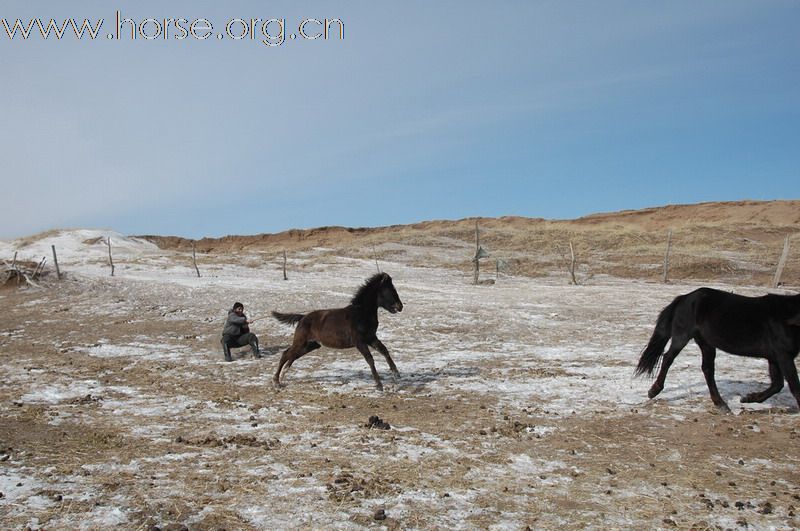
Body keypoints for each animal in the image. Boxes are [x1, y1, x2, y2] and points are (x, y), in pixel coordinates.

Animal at [272, 274, 404, 390]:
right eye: (389, 290)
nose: (400, 306)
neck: (361, 314)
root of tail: (302, 317)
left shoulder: (371, 338)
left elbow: (384, 350)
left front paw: (396, 374)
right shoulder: (359, 342)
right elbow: (370, 359)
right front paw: (379, 385)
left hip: (311, 344)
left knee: (293, 355)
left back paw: (282, 376)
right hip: (301, 341)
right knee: (286, 354)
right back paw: (276, 381)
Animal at [636, 288, 800, 414]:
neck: (788, 317)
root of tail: (685, 297)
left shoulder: (774, 358)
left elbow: (777, 385)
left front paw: (748, 398)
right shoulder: (783, 355)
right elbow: (794, 386)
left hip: (706, 344)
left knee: (707, 369)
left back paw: (720, 403)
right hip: (682, 336)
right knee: (668, 358)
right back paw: (654, 390)